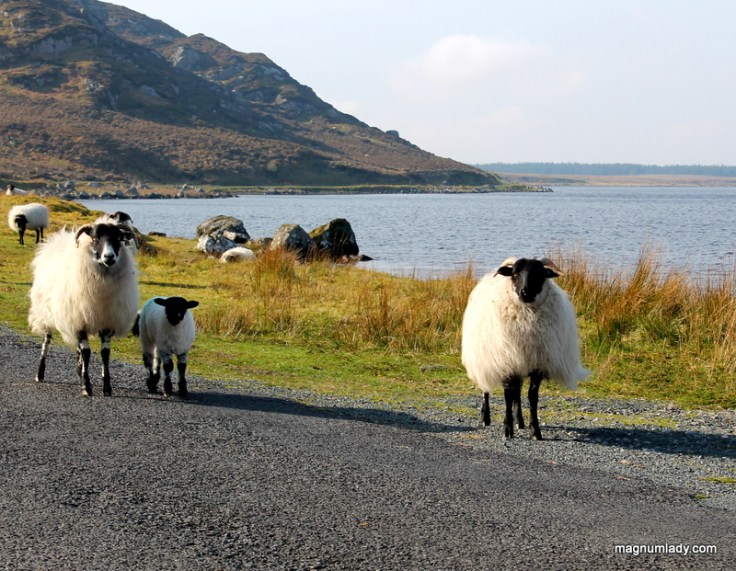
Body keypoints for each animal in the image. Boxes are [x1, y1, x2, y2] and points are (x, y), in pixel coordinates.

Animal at [28, 221, 139, 396]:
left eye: (119, 238)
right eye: (95, 238)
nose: (109, 257)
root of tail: (56, 240)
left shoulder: (106, 322)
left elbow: (105, 354)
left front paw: (106, 387)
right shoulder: (80, 321)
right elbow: (87, 353)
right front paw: (87, 387)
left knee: (78, 350)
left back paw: (79, 373)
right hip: (46, 314)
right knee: (46, 342)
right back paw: (40, 374)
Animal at [461, 257, 590, 440]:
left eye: (539, 274)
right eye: (515, 274)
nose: (525, 292)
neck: (527, 317)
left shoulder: (537, 363)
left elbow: (531, 396)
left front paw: (534, 430)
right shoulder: (506, 362)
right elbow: (508, 396)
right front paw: (507, 430)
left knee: (518, 392)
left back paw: (519, 421)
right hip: (485, 358)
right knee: (486, 389)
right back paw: (486, 418)